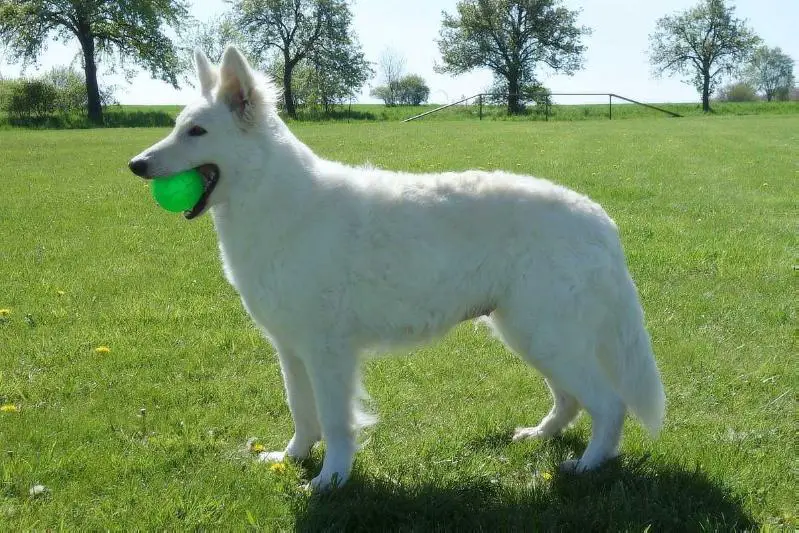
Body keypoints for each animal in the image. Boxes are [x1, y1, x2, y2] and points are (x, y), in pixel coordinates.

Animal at [130, 47, 668, 488]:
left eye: (196, 132)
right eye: (177, 127)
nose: (135, 165)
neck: (276, 200)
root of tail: (600, 220)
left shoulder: (328, 353)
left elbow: (336, 422)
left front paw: (330, 480)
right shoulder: (291, 348)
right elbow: (301, 413)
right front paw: (291, 459)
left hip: (544, 335)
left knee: (610, 404)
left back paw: (589, 465)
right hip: (529, 335)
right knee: (572, 399)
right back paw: (539, 436)